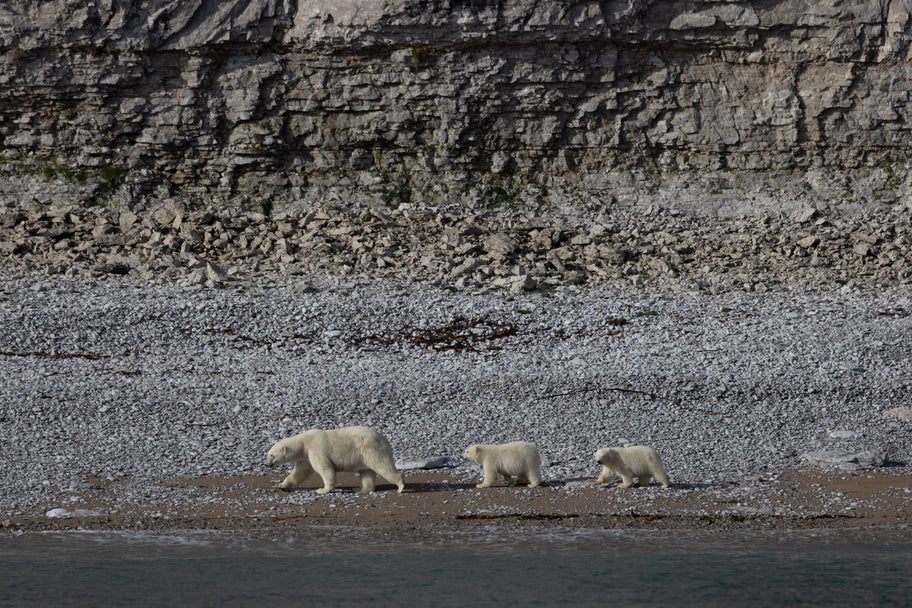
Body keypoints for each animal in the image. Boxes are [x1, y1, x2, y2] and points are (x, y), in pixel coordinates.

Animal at [266, 428, 404, 494]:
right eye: (267, 454)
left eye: (272, 455)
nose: (266, 464)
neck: (304, 442)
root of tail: (384, 439)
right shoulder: (305, 457)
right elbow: (299, 473)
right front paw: (280, 485)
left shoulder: (316, 449)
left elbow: (324, 468)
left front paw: (322, 490)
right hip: (364, 455)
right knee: (366, 472)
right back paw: (360, 489)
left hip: (371, 449)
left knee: (383, 466)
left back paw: (400, 486)